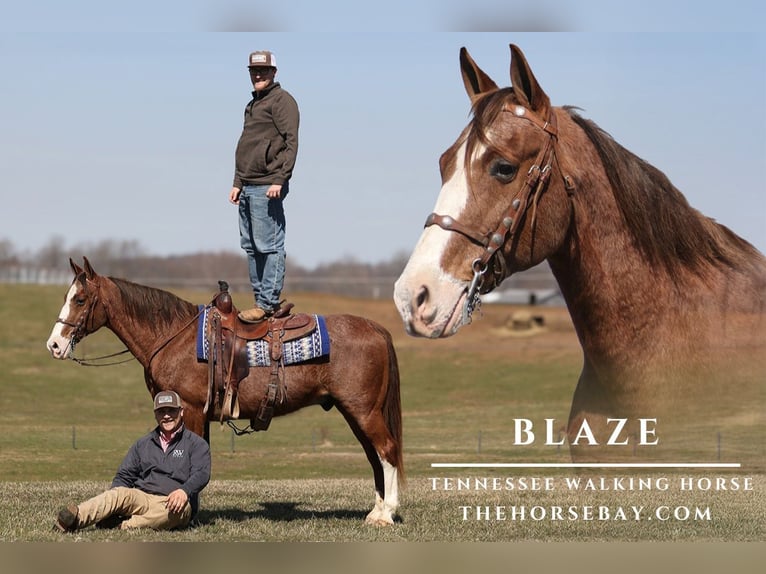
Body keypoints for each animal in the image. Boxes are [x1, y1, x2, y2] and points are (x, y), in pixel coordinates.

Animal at [46, 258, 408, 524]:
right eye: (65, 297)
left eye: (80, 299)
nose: (54, 345)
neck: (172, 335)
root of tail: (376, 329)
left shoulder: (190, 408)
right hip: (355, 412)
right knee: (375, 457)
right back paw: (376, 511)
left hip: (363, 411)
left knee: (386, 450)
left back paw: (386, 515)